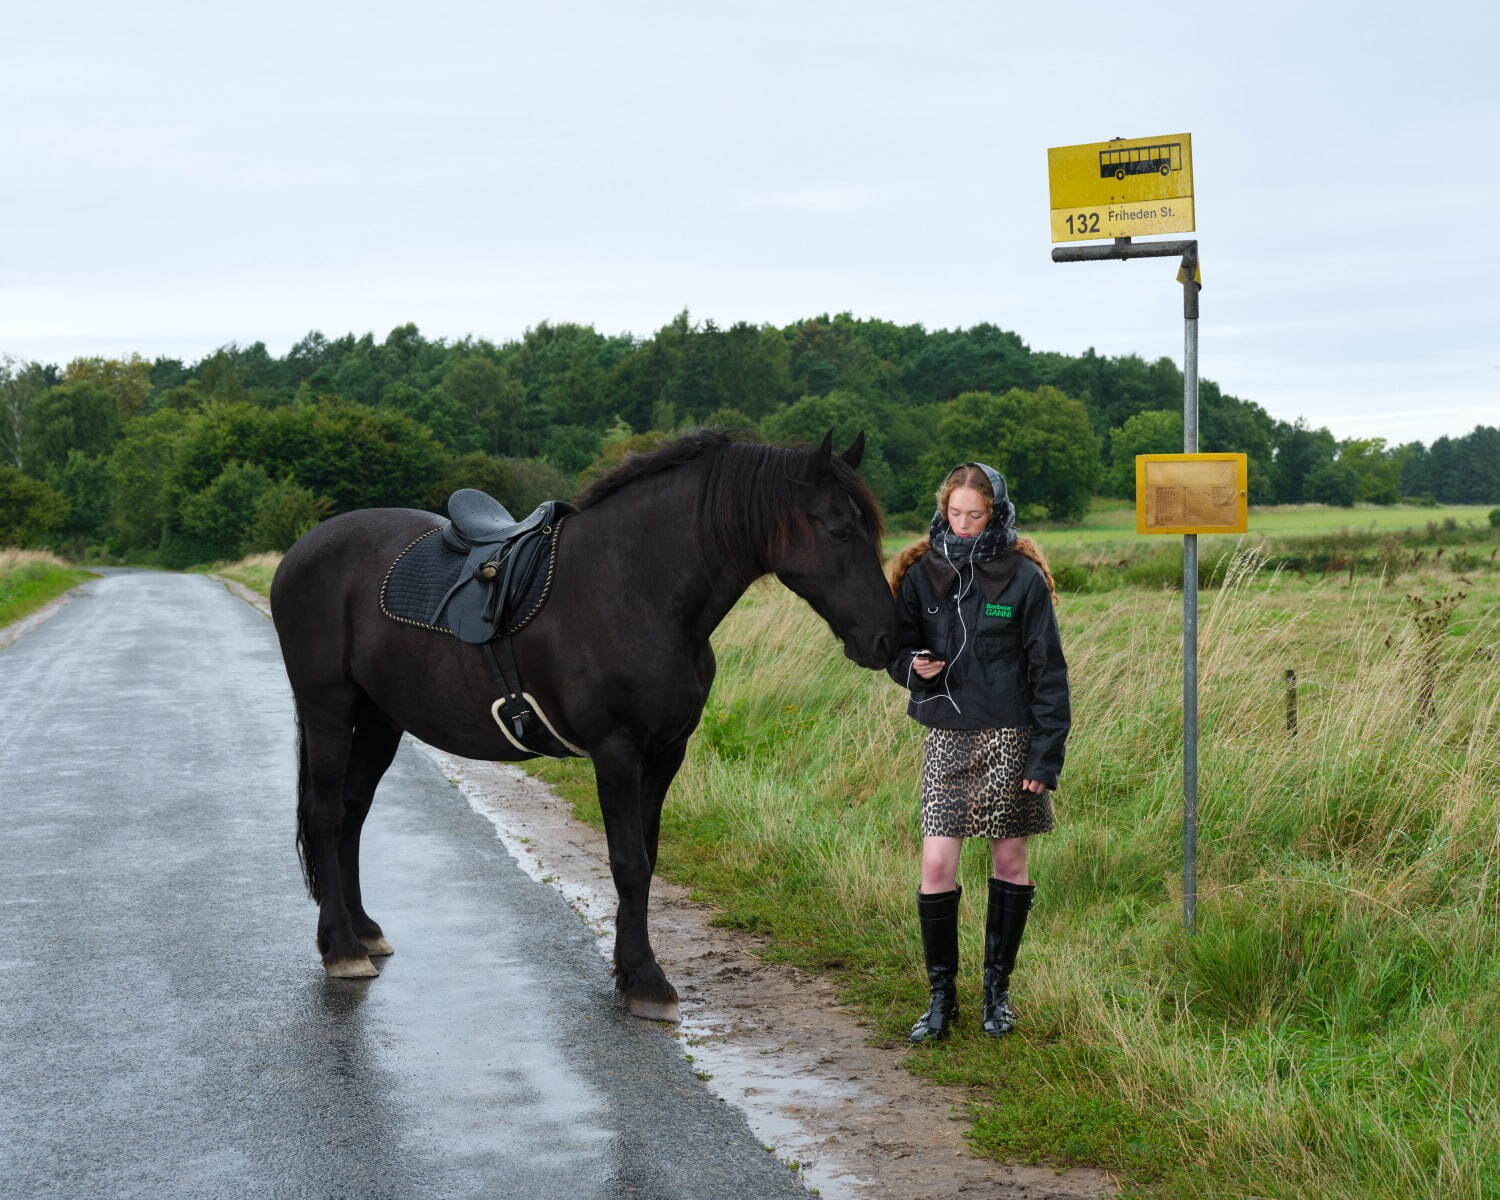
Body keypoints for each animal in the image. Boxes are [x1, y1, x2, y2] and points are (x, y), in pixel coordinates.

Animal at [273, 426, 888, 1020]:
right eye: (839, 529)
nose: (888, 637)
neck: (635, 589)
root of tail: (302, 551)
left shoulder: (666, 753)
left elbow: (648, 855)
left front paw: (629, 969)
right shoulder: (617, 751)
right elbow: (628, 861)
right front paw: (646, 981)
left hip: (381, 719)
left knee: (353, 811)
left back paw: (363, 930)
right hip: (329, 708)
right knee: (326, 813)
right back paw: (342, 948)